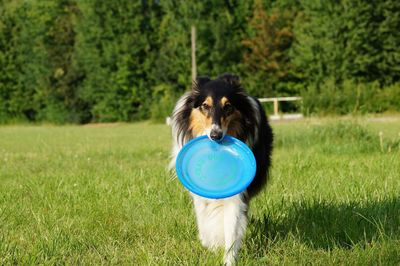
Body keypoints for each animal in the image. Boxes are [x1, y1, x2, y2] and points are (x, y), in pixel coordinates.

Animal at [170, 74, 274, 264]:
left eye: (228, 106)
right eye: (205, 106)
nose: (216, 135)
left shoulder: (238, 194)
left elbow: (232, 228)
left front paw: (229, 260)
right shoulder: (198, 192)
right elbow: (203, 218)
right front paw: (209, 243)